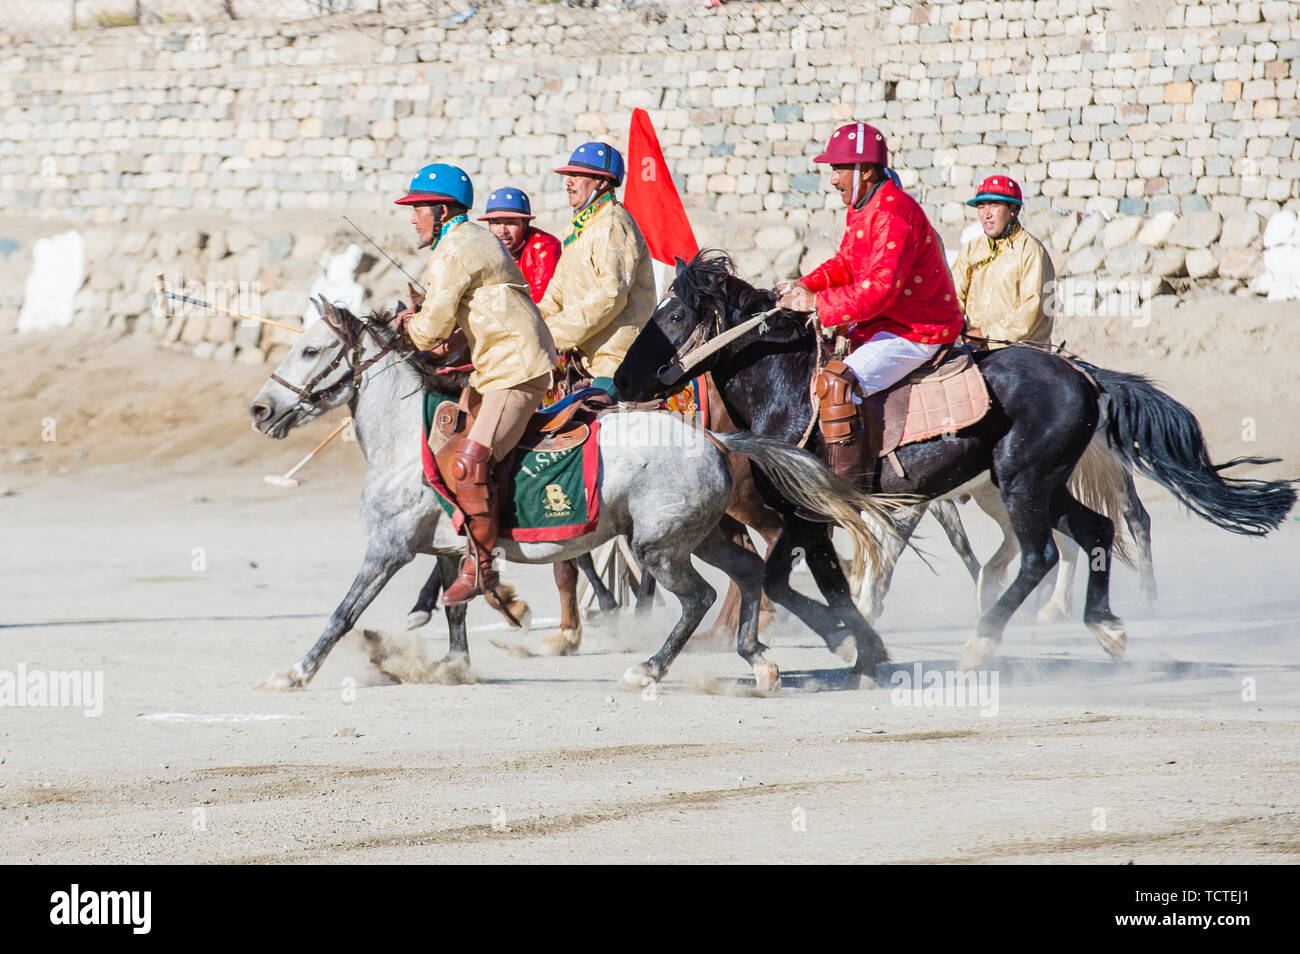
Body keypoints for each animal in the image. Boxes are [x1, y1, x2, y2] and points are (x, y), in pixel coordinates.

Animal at [245, 304, 894, 696]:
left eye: (310, 350)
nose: (259, 409)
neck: (407, 442)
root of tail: (714, 437)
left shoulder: (388, 549)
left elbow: (344, 613)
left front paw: (296, 672)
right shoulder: (452, 553)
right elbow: (456, 609)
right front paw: (454, 666)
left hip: (658, 548)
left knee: (700, 598)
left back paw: (649, 668)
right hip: (701, 536)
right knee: (751, 574)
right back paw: (758, 658)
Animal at [613, 256, 1294, 670]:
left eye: (675, 314)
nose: (620, 380)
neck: (786, 384)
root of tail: (1082, 375)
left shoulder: (809, 516)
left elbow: (792, 580)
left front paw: (848, 639)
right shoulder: (817, 520)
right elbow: (817, 582)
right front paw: (861, 645)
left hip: (1022, 483)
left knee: (1043, 554)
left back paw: (983, 640)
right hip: (1040, 483)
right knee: (1095, 531)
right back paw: (1106, 627)